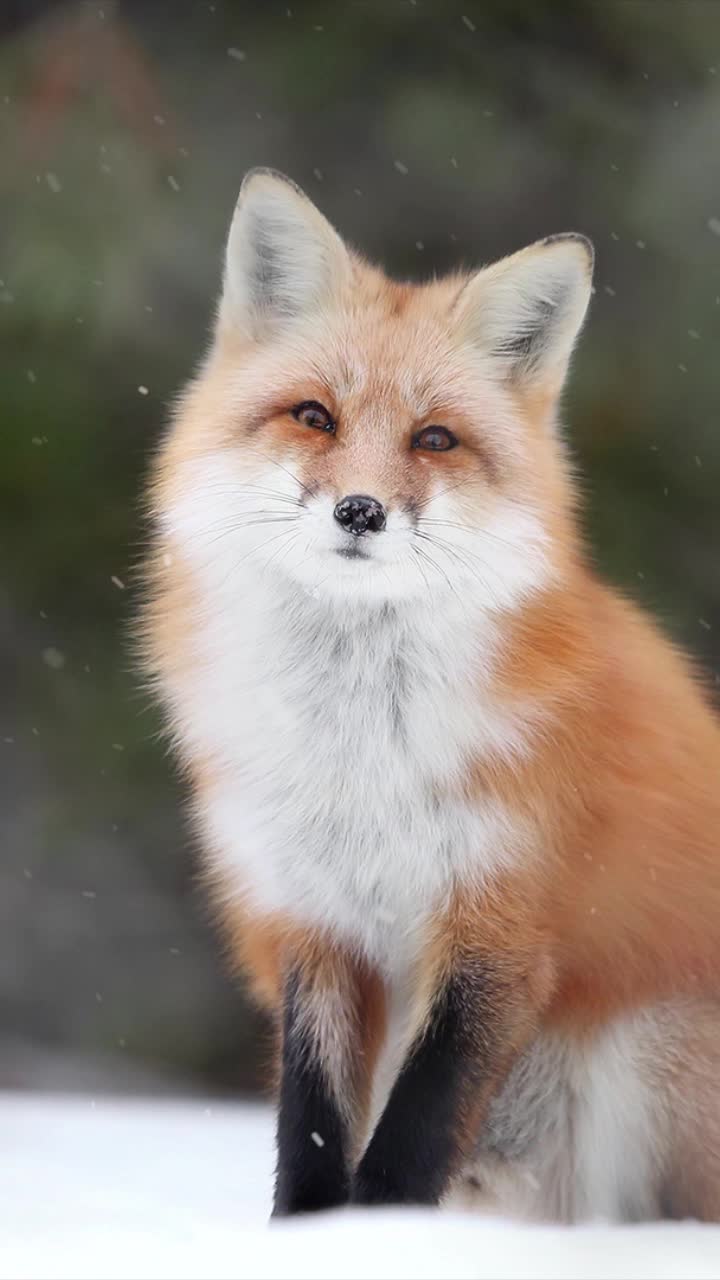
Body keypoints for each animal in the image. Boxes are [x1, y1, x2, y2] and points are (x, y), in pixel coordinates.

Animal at [142, 168, 720, 1223]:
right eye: (314, 416)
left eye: (435, 438)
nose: (360, 510)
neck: (358, 761)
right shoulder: (313, 923)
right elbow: (312, 1128)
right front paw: (308, 1240)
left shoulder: (500, 928)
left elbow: (414, 1134)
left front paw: (387, 1237)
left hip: (634, 1050)